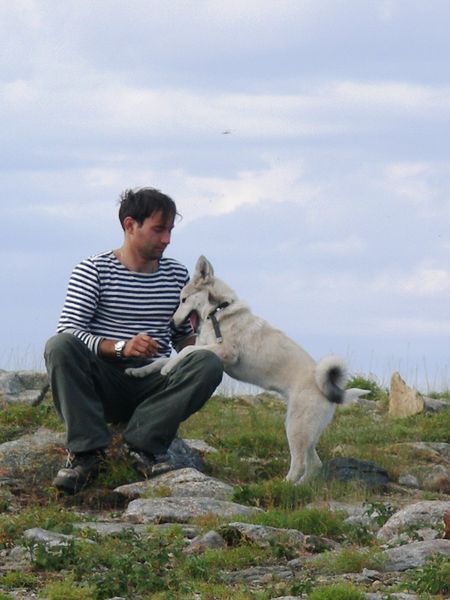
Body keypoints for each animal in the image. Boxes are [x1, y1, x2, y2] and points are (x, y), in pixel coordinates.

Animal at [127, 255, 368, 484]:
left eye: (183, 300)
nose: (170, 324)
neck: (218, 312)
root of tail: (331, 388)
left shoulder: (225, 353)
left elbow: (186, 350)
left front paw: (168, 367)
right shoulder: (211, 350)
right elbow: (165, 358)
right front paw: (138, 371)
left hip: (296, 427)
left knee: (299, 464)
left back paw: (284, 485)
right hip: (305, 429)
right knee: (313, 464)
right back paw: (299, 486)